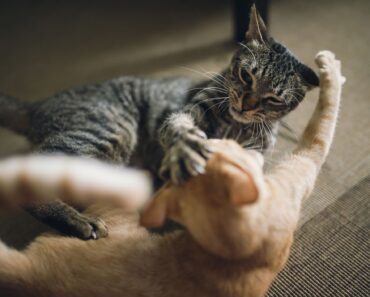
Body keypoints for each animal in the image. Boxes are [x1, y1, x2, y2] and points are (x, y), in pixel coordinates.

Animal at [0, 5, 318, 238]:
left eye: (273, 99)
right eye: (246, 75)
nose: (246, 104)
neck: (236, 124)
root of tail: (39, 105)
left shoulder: (257, 150)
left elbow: (248, 164)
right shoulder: (188, 110)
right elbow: (179, 129)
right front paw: (187, 149)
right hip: (107, 132)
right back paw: (79, 221)